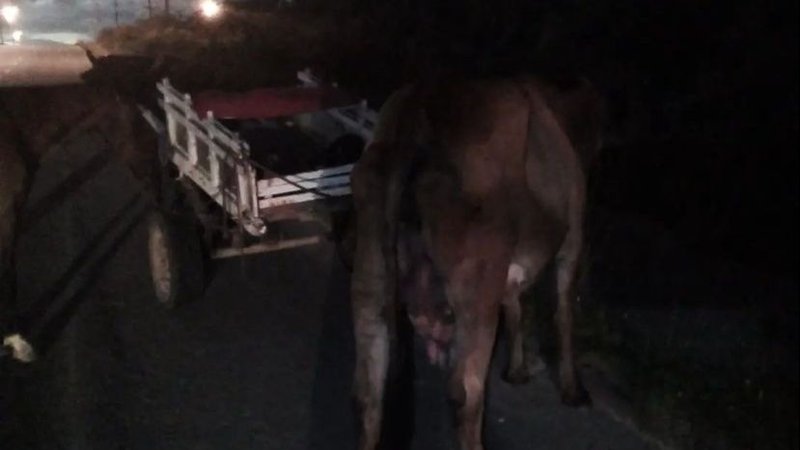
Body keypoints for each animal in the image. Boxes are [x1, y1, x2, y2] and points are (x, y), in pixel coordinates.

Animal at [346, 75, 604, 448]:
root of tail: (420, 106)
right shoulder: (572, 241)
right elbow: (563, 312)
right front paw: (573, 390)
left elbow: (516, 308)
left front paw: (516, 370)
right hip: (475, 284)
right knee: (464, 392)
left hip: (371, 267)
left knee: (368, 386)